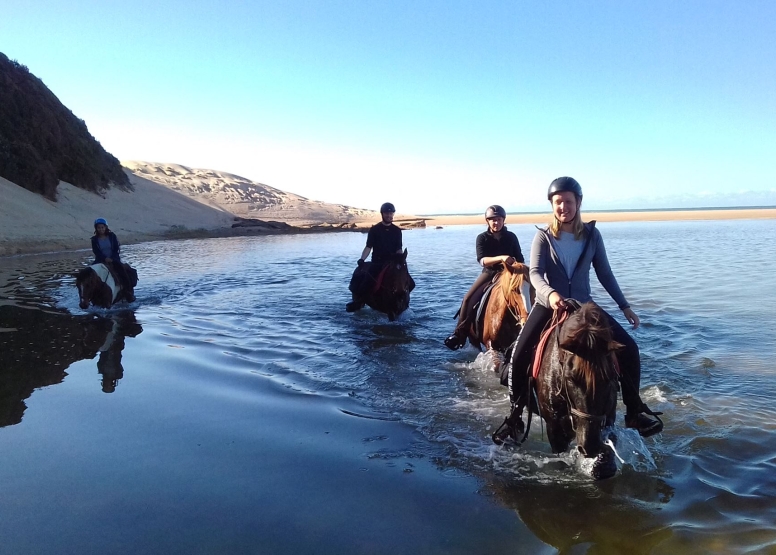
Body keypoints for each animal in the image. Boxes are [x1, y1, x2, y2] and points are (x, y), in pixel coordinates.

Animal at [500, 302, 620, 480]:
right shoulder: (554, 428)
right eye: (571, 378)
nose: (590, 446)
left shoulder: (607, 417)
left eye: (610, 377)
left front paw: (603, 465)